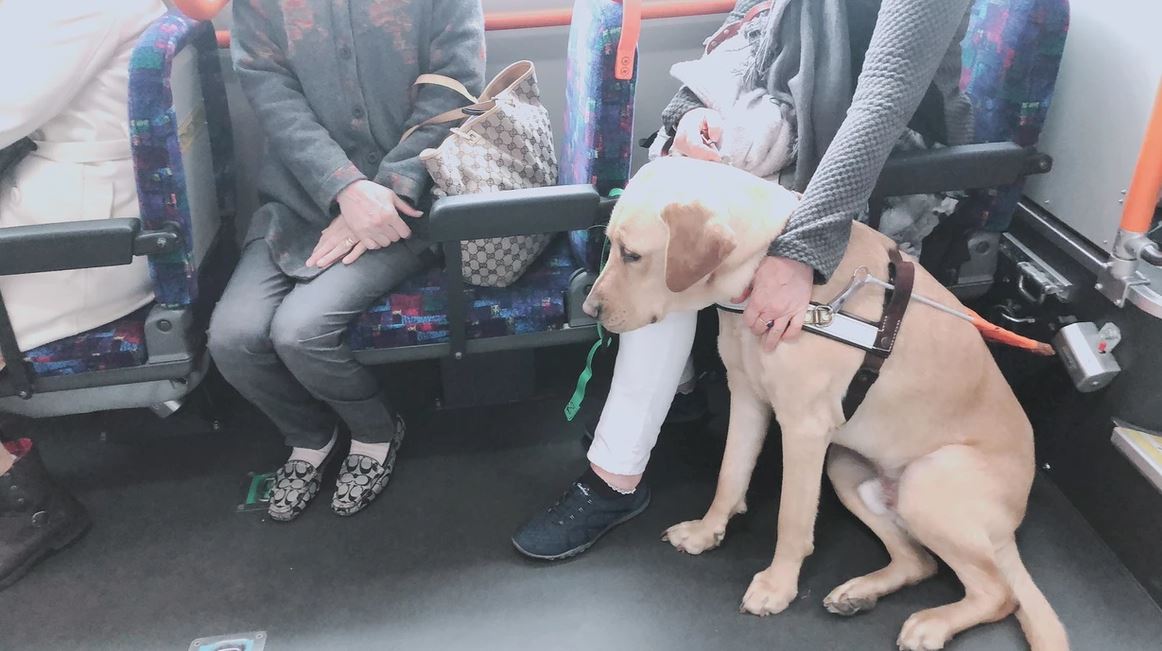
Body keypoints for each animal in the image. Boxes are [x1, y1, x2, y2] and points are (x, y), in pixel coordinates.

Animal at [585, 158, 1064, 651]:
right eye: (611, 246)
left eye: (632, 254)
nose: (589, 310)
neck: (765, 267)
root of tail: (1009, 529)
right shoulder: (747, 397)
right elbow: (730, 477)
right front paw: (706, 531)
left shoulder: (804, 428)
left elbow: (792, 519)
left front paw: (777, 587)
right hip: (847, 472)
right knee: (920, 562)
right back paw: (858, 594)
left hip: (926, 482)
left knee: (999, 593)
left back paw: (931, 624)